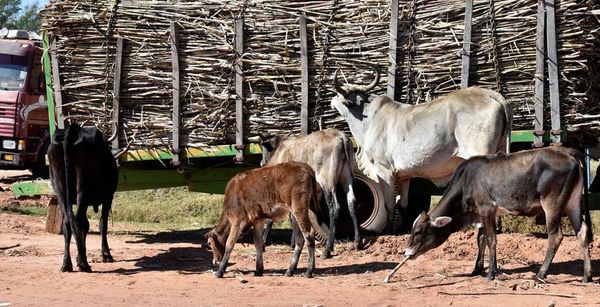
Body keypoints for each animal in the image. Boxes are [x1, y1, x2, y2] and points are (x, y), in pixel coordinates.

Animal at [48, 124, 118, 274]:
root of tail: (71, 131)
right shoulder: (108, 196)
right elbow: (102, 224)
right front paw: (106, 255)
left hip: (61, 191)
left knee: (68, 222)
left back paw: (67, 264)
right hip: (83, 189)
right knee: (79, 221)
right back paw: (83, 264)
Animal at [330, 70, 512, 233]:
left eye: (339, 95)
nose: (332, 100)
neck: (368, 119)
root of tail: (493, 95)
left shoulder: (384, 170)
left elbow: (389, 205)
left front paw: (387, 231)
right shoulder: (404, 176)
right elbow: (402, 205)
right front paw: (400, 230)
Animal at [404, 148, 592, 282]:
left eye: (419, 231)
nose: (406, 252)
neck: (467, 181)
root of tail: (570, 153)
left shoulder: (486, 209)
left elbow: (490, 239)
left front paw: (490, 273)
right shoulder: (484, 213)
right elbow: (480, 239)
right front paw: (477, 269)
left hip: (552, 204)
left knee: (556, 236)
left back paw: (540, 274)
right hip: (573, 202)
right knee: (582, 232)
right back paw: (586, 276)